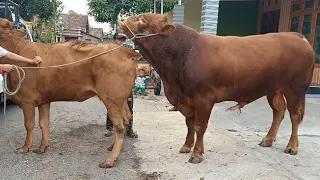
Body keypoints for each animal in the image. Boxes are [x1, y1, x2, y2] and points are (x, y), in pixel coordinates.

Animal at [0, 18, 141, 167]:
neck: (17, 50)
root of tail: (122, 50)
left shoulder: (27, 100)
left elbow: (29, 124)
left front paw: (25, 147)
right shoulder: (44, 100)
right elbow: (44, 123)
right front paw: (43, 147)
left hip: (112, 100)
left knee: (119, 126)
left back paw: (110, 159)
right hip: (122, 100)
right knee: (126, 119)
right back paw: (112, 147)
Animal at [119, 12, 316, 164]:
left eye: (142, 19)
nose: (121, 20)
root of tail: (298, 36)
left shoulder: (203, 98)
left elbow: (199, 126)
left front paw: (197, 154)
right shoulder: (186, 99)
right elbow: (189, 123)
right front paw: (186, 146)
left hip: (295, 89)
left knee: (295, 115)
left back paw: (292, 147)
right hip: (274, 89)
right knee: (278, 112)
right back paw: (268, 140)